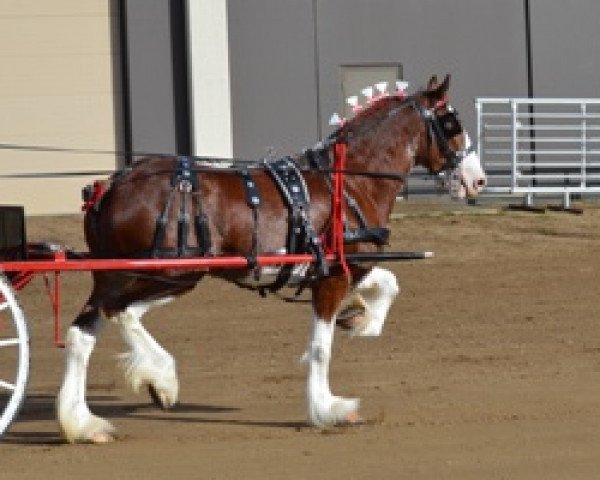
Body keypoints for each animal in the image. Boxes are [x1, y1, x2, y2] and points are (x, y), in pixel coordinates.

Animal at [57, 74, 488, 442]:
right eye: (451, 123)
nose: (478, 179)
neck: (347, 182)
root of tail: (110, 186)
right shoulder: (332, 278)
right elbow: (322, 348)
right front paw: (328, 408)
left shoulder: (343, 267)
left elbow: (389, 283)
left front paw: (361, 319)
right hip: (166, 272)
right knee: (117, 311)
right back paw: (160, 377)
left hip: (147, 276)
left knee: (85, 332)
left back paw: (83, 422)